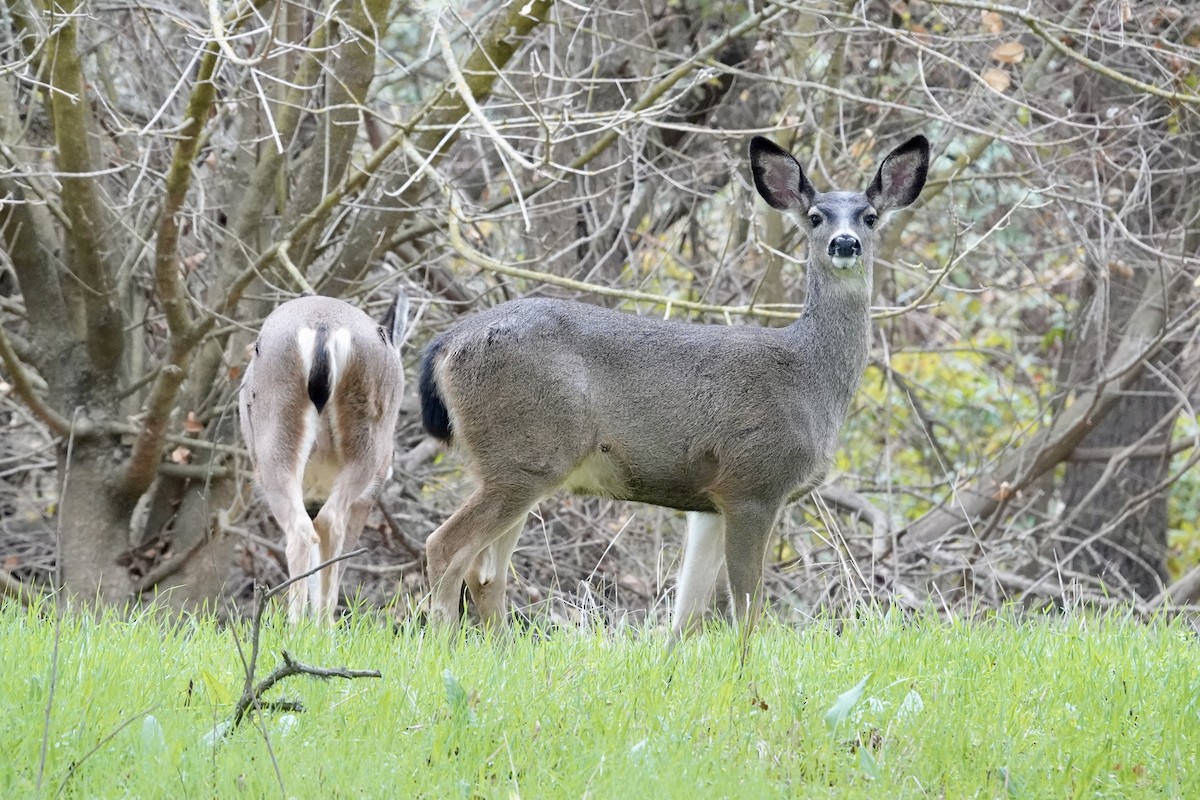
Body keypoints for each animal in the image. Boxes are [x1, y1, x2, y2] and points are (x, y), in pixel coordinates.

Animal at [239, 292, 408, 624]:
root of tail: (324, 328)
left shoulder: (313, 496)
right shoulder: (367, 496)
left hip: (279, 434)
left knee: (306, 529)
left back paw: (299, 626)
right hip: (367, 447)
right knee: (326, 526)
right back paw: (316, 627)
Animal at [418, 133, 929, 641]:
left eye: (870, 216)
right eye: (816, 217)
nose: (846, 242)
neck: (811, 377)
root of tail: (444, 346)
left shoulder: (708, 503)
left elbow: (686, 614)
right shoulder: (754, 482)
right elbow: (747, 606)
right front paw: (747, 660)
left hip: (522, 464)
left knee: (486, 571)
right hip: (526, 451)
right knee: (446, 546)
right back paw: (442, 640)